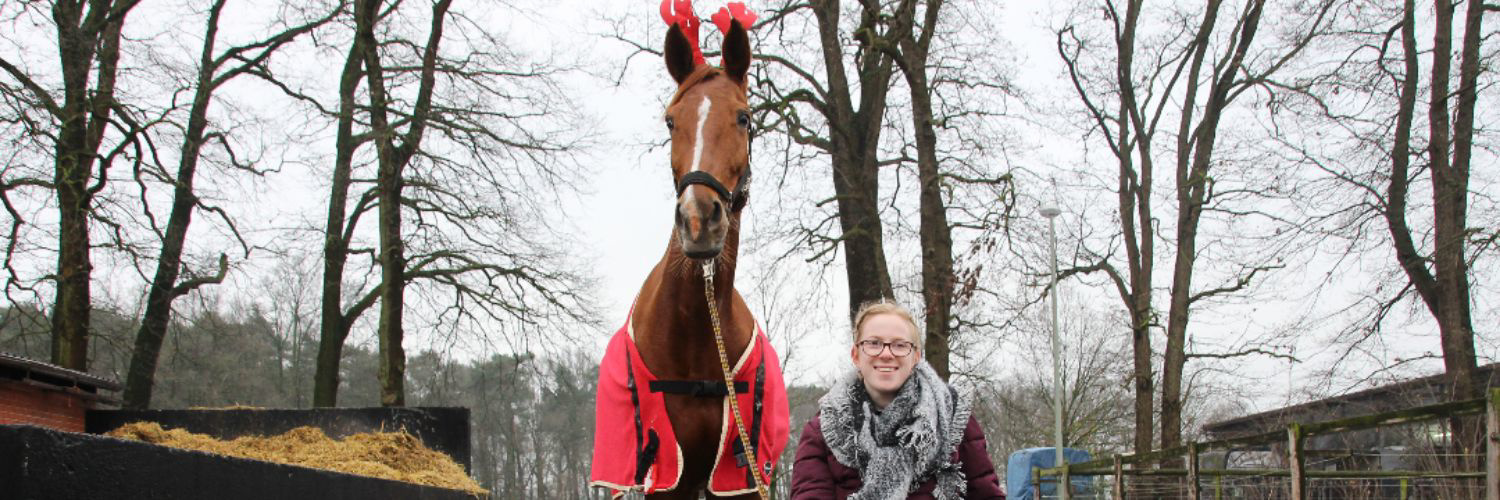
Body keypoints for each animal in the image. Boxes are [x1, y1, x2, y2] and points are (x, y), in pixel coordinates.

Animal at [591, 1, 792, 495]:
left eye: (743, 117)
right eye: (670, 120)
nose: (699, 220)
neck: (696, 337)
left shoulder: (736, 478)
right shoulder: (668, 478)